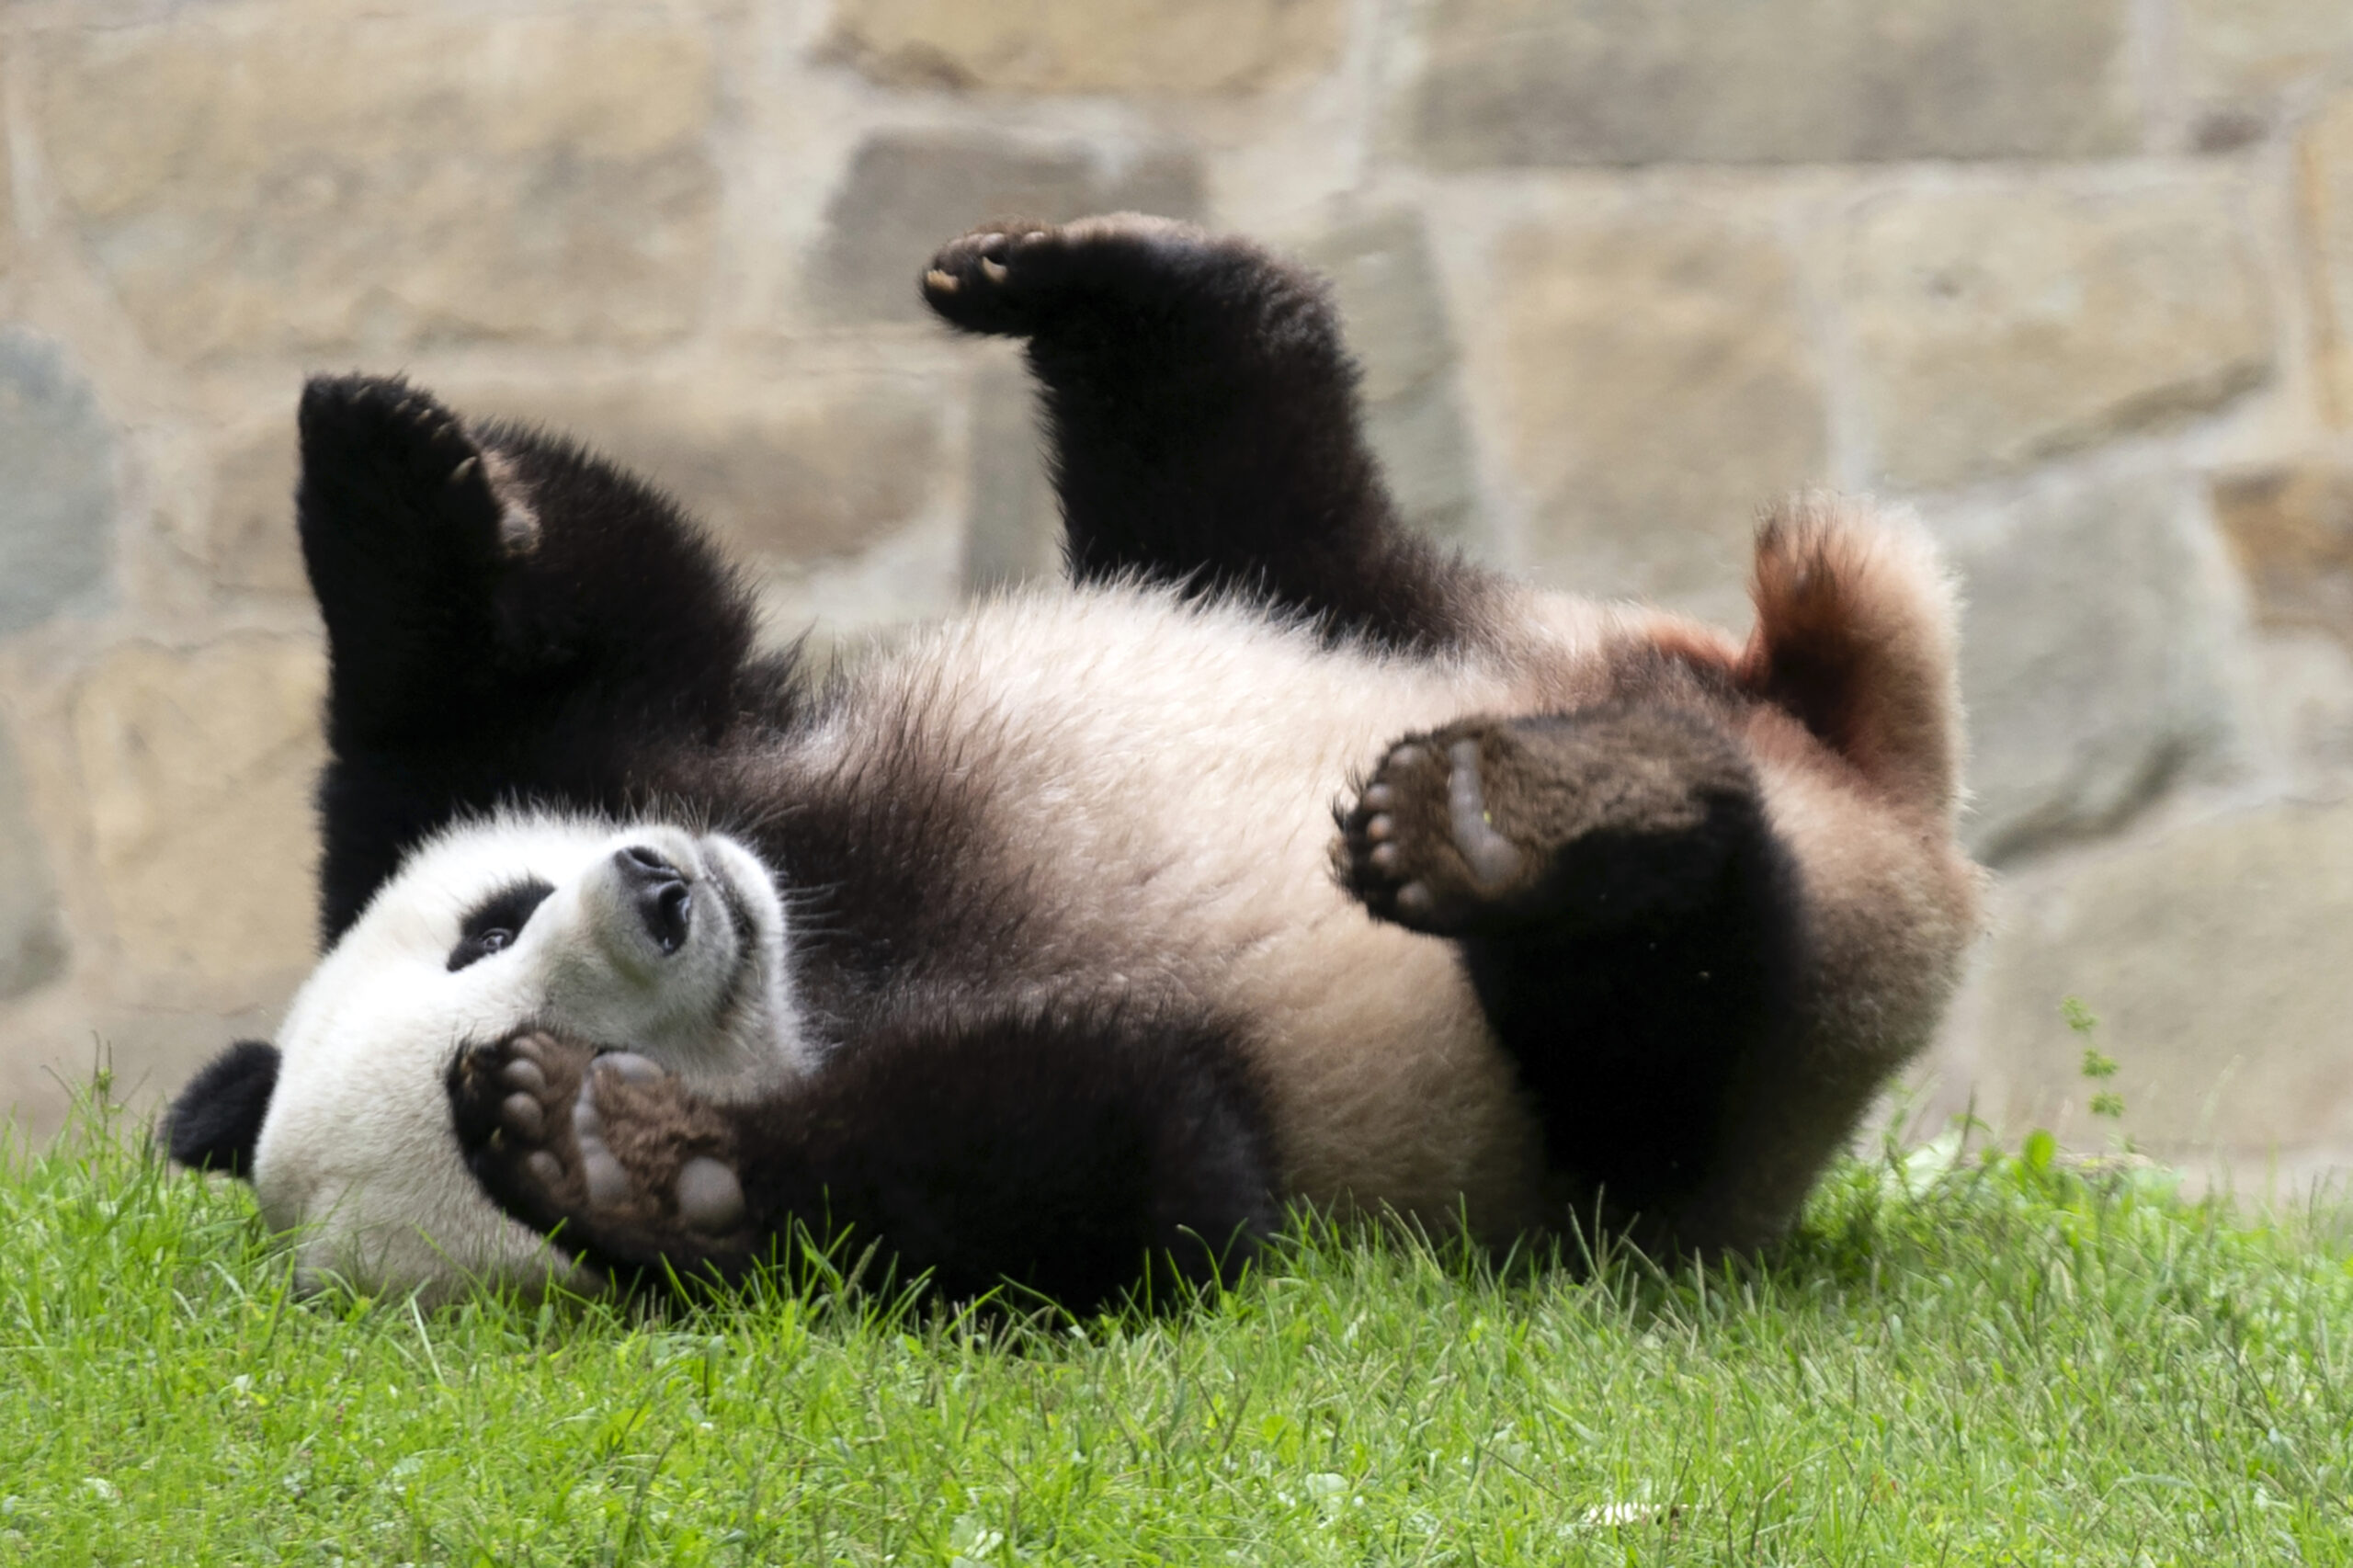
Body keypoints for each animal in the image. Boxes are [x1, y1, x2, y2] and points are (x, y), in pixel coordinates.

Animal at [165, 215, 1981, 1311]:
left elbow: (559, 652)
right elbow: (1141, 1171)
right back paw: (1535, 830)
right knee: (1667, 1018)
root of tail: (1870, 778)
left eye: (490, 922)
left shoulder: (678, 754)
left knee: (1257, 485)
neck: (830, 948)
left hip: (1417, 617)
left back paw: (1098, 284)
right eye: (518, 996)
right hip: (1677, 1115)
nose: (663, 892)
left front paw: (387, 465)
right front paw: (623, 1155)